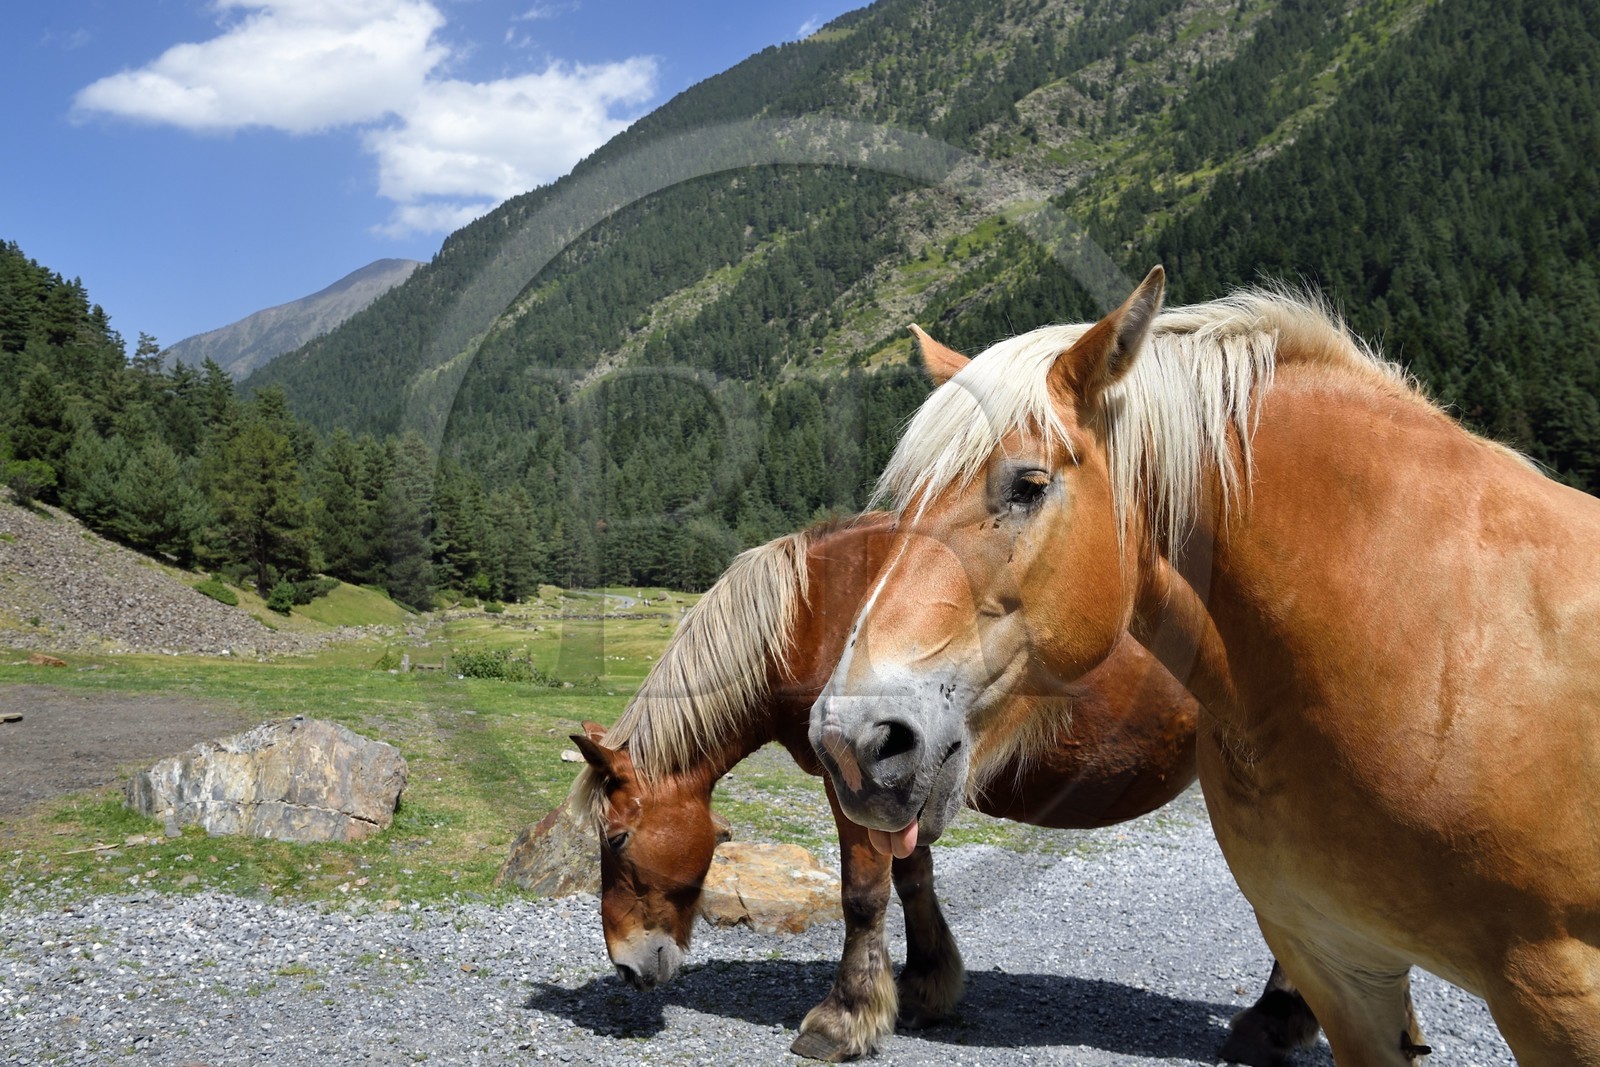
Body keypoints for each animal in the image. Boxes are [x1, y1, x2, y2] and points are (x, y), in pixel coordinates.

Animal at [572, 508, 1315, 1063]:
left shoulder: (856, 784)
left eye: (616, 839)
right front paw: (926, 986)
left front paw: (844, 1018)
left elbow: (863, 894)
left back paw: (1275, 1020)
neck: (819, 612)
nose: (628, 968)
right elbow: (913, 879)